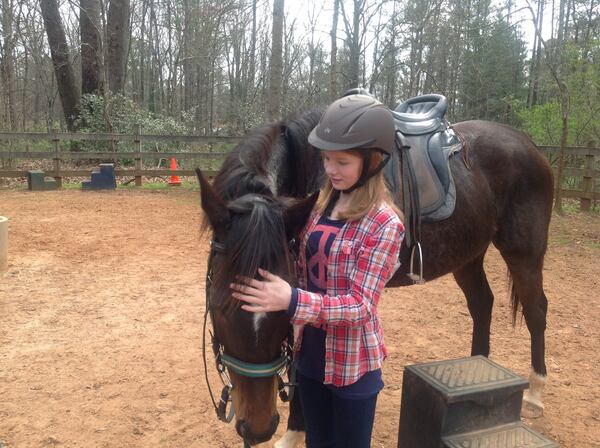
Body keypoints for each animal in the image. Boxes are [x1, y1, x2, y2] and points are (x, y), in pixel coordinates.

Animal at [199, 111, 556, 444]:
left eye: (279, 315)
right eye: (218, 307)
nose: (257, 429)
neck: (308, 169)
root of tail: (527, 144)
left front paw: (294, 432)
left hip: (523, 251)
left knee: (536, 309)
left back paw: (535, 392)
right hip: (468, 255)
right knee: (482, 304)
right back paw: (477, 366)